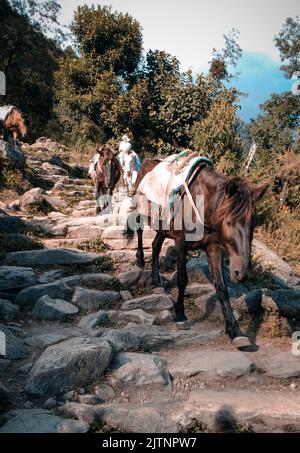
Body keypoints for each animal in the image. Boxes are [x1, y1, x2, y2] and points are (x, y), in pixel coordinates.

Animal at [124, 157, 268, 348]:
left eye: (253, 223)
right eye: (229, 221)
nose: (241, 272)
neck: (202, 206)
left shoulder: (214, 249)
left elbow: (222, 288)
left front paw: (235, 331)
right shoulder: (180, 244)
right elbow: (182, 279)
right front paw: (180, 316)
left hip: (163, 227)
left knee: (155, 245)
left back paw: (157, 282)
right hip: (142, 214)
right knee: (139, 231)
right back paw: (140, 260)